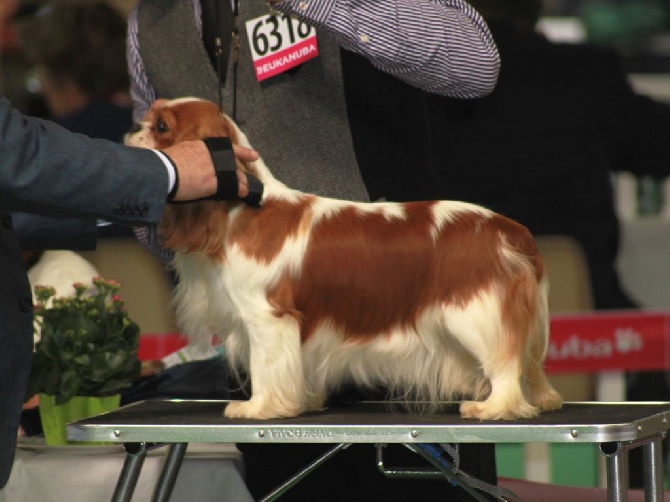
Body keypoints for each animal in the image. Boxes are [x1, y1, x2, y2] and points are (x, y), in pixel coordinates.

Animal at [126, 97, 560, 420]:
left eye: (161, 127)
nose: (132, 130)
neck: (242, 208)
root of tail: (509, 229)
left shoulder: (267, 317)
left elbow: (266, 367)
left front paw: (259, 408)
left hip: (476, 314)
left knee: (504, 364)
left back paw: (493, 407)